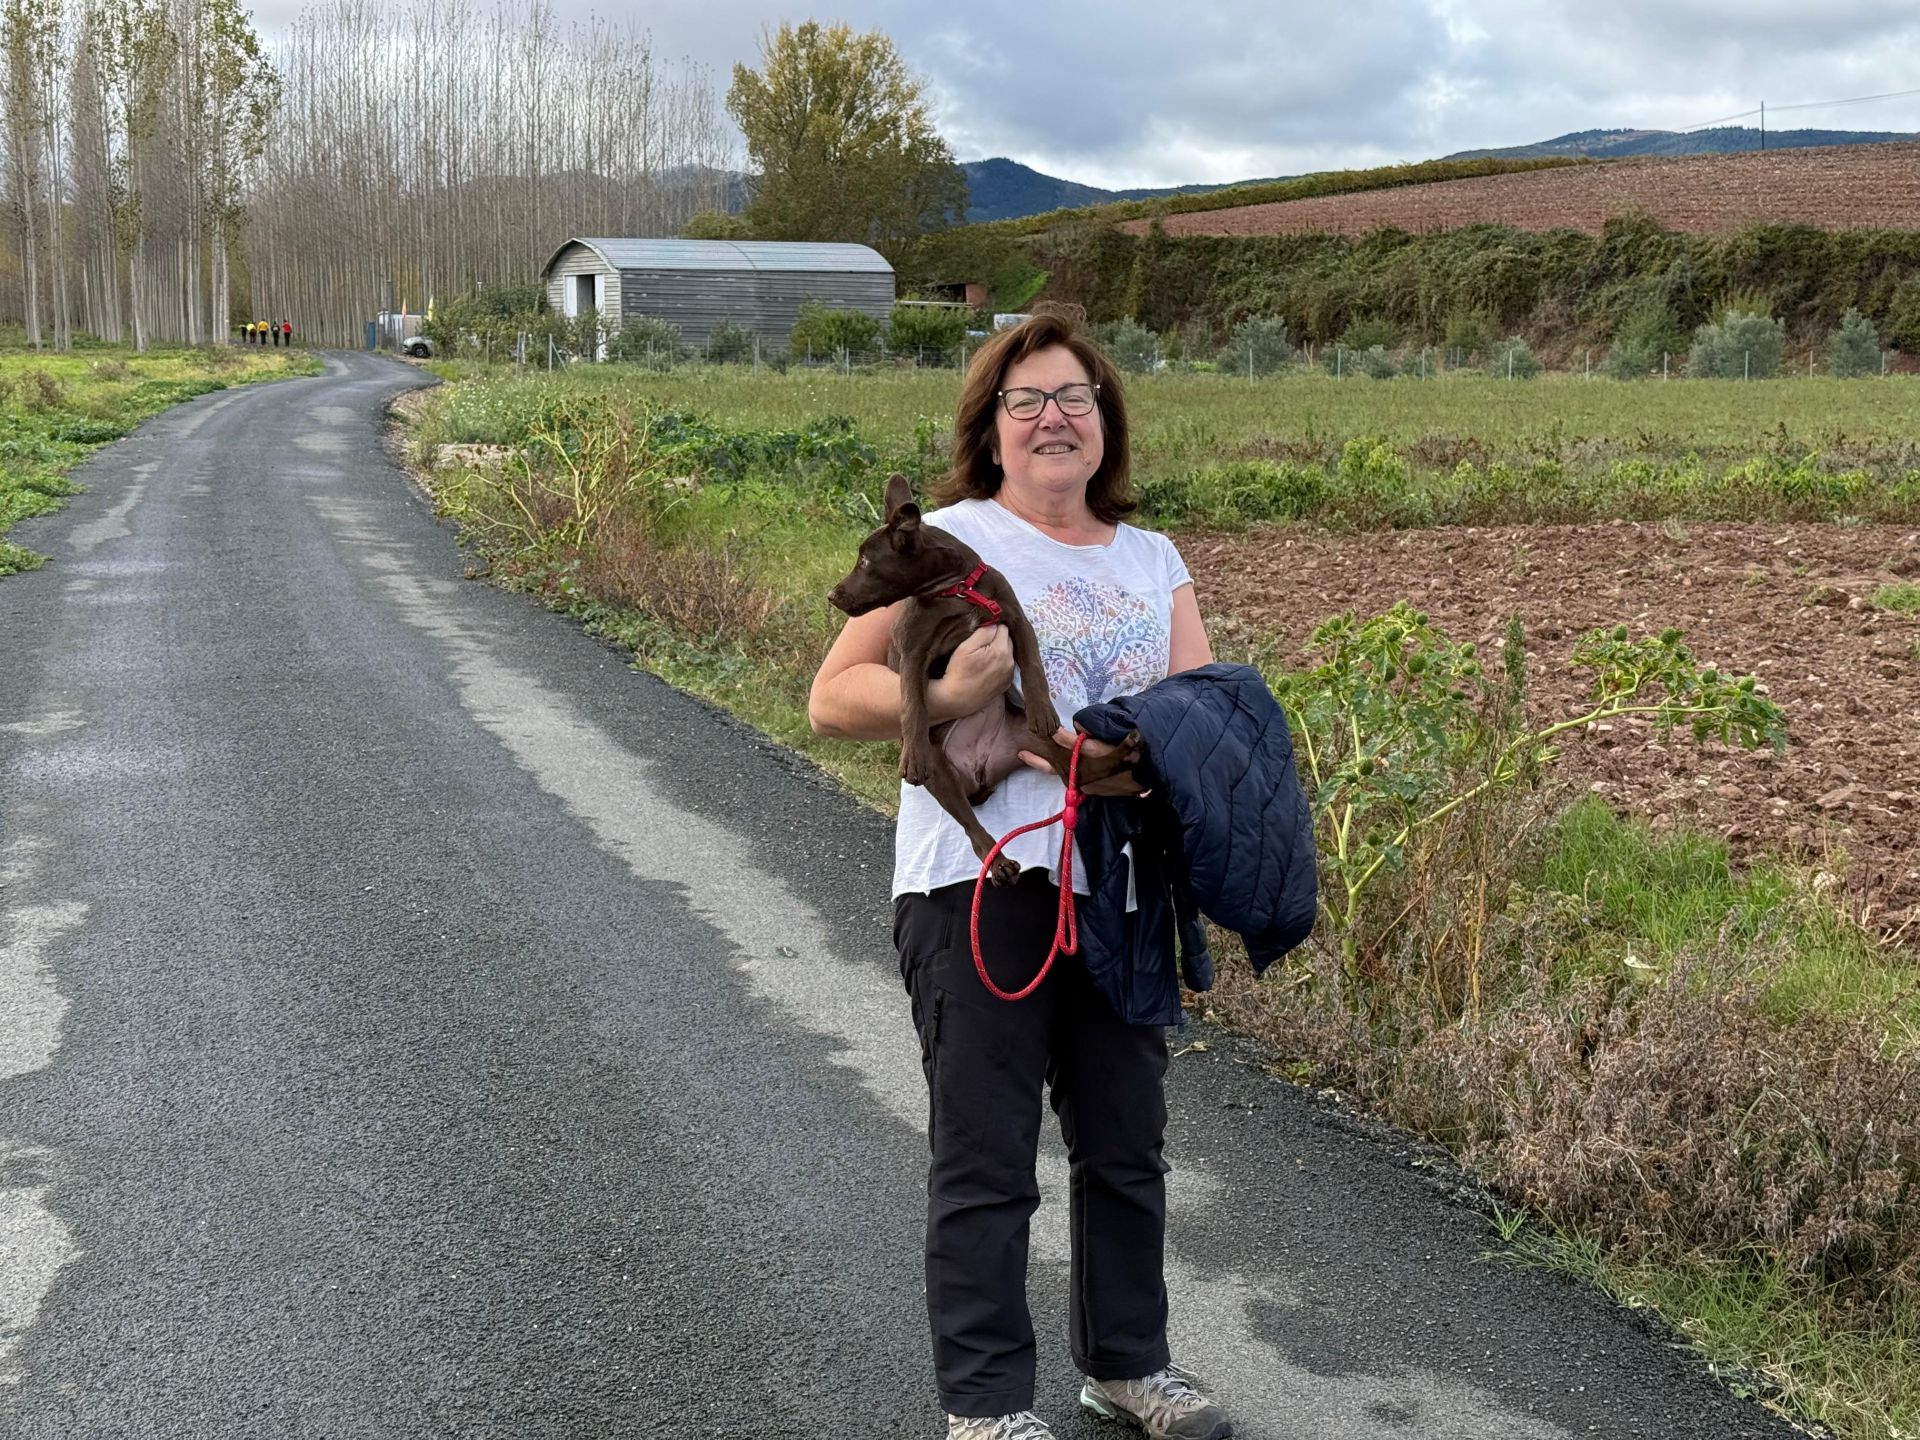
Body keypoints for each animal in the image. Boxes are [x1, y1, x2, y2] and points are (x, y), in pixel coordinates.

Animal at [829, 476, 1136, 879]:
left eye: (865, 562)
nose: (831, 595)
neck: (959, 590)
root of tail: (981, 772)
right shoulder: (913, 652)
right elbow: (912, 701)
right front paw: (912, 751)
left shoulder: (1016, 620)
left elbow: (1033, 665)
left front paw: (1043, 710)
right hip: (941, 776)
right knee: (972, 827)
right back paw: (999, 861)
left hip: (1033, 741)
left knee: (1080, 771)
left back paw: (1127, 750)